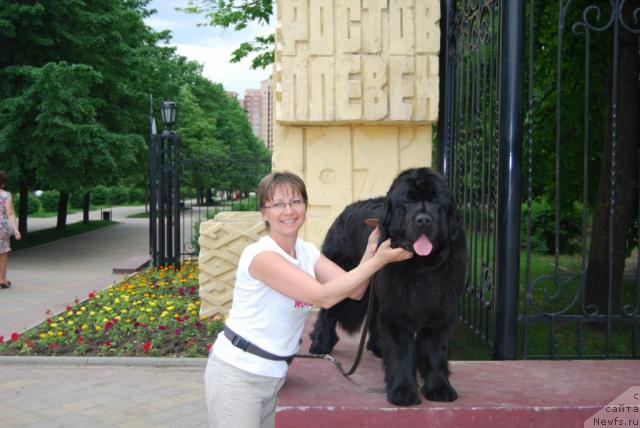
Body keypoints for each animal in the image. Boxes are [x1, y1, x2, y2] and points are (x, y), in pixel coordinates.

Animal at [308, 166, 464, 404]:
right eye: (408, 201)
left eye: (436, 201)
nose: (424, 220)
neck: (420, 268)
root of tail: (347, 209)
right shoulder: (397, 311)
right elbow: (401, 353)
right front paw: (403, 392)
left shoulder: (439, 309)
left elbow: (436, 351)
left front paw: (439, 388)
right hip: (344, 274)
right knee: (328, 310)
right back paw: (321, 343)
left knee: (373, 317)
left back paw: (378, 346)